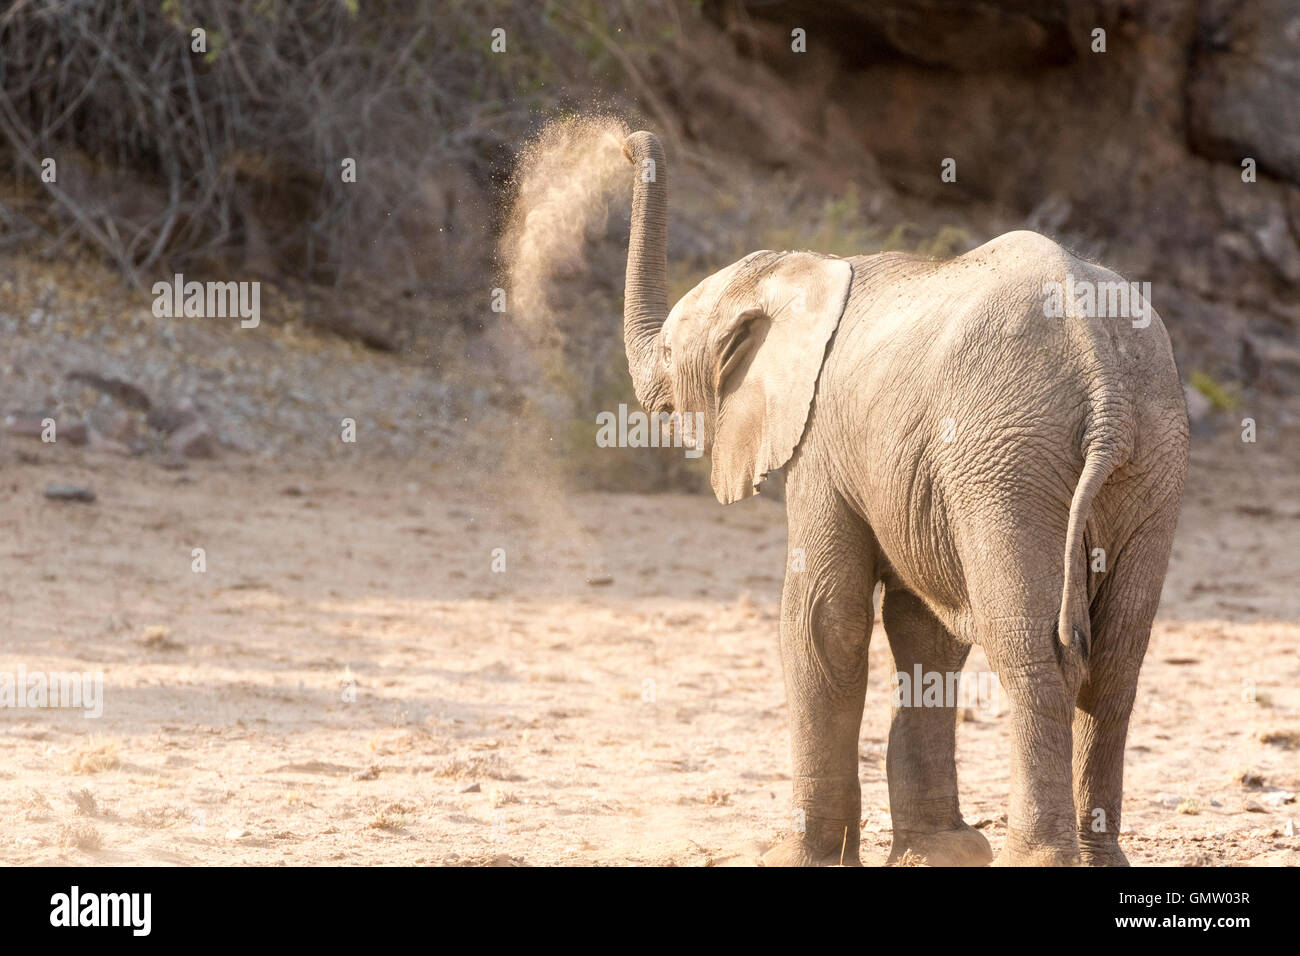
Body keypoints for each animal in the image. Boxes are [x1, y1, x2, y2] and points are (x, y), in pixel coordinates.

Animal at [616, 130, 1190, 868]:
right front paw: (938, 853)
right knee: (1114, 664)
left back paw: (1036, 858)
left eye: (671, 351)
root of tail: (1104, 379)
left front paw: (795, 857)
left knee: (1035, 653)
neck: (805, 271)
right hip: (1148, 461)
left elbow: (822, 618)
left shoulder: (821, 441)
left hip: (1006, 460)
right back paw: (1095, 859)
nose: (628, 142)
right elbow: (925, 632)